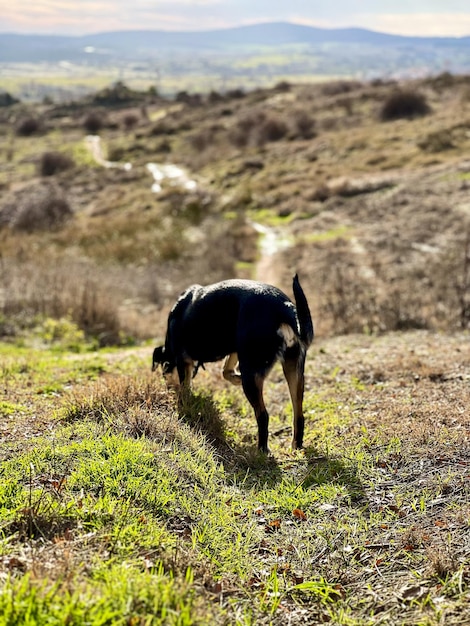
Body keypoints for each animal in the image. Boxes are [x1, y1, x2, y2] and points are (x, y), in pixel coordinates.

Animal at [152, 272, 314, 448]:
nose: (168, 388)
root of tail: (284, 308)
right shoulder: (235, 347)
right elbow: (226, 370)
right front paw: (236, 378)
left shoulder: (183, 361)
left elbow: (185, 389)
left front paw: (184, 408)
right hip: (294, 370)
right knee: (299, 414)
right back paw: (296, 445)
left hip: (252, 373)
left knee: (263, 415)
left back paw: (262, 450)